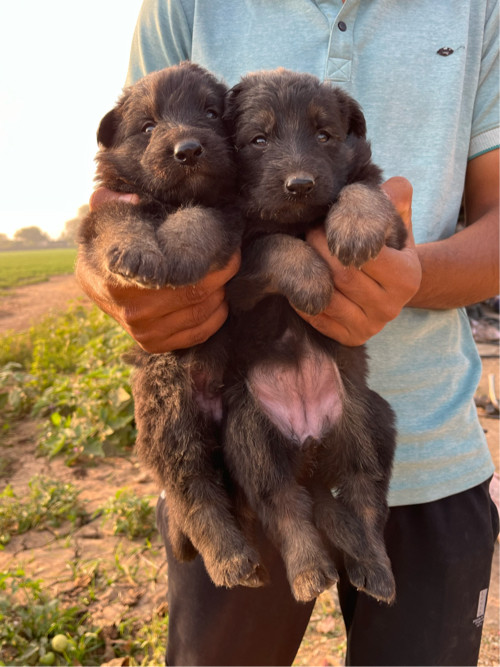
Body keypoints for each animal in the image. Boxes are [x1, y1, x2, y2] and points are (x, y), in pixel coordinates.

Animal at [77, 64, 266, 588]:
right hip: (169, 416)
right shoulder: (102, 213)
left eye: (211, 113)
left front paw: (176, 255)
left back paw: (238, 561)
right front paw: (135, 253)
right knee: (193, 495)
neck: (169, 198)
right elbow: (120, 221)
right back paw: (233, 559)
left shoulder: (226, 214)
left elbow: (196, 220)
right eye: (147, 126)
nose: (188, 150)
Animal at [223, 68, 406, 604]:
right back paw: (309, 570)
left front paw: (356, 226)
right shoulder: (231, 278)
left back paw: (375, 568)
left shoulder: (394, 229)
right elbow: (274, 245)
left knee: (366, 499)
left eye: (325, 135)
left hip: (368, 417)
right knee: (284, 506)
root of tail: (308, 438)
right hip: (248, 430)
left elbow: (362, 191)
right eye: (258, 140)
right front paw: (310, 280)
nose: (300, 184)